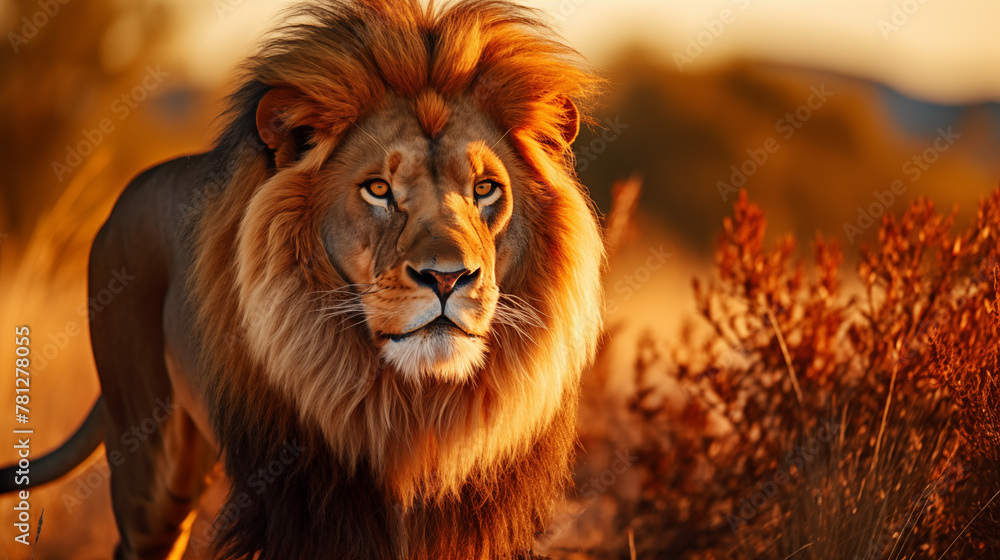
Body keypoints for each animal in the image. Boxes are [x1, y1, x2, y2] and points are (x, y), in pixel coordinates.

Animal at [0, 1, 604, 558]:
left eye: (484, 189)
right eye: (378, 189)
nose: (446, 277)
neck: (413, 409)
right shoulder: (307, 500)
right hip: (147, 458)